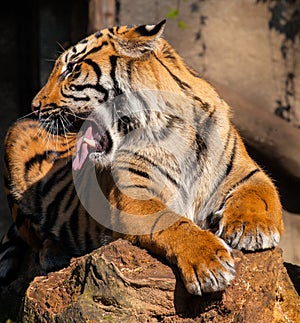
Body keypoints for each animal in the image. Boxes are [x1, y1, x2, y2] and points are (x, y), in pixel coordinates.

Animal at [0, 20, 282, 298]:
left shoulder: (246, 172)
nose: (35, 107)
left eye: (71, 68)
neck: (171, 125)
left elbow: (257, 195)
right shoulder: (133, 197)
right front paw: (210, 263)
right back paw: (54, 255)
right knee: (37, 238)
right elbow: (173, 222)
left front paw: (251, 229)